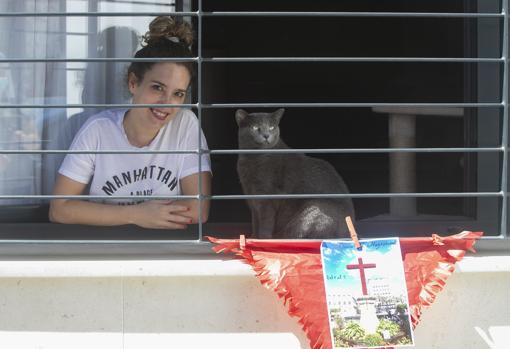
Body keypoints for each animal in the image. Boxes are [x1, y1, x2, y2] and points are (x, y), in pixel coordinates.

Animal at [235, 108, 354, 239]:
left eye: (271, 127)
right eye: (255, 127)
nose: (266, 135)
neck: (252, 158)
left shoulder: (267, 199)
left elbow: (265, 224)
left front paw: (261, 239)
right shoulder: (252, 197)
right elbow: (255, 221)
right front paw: (253, 237)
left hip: (312, 210)